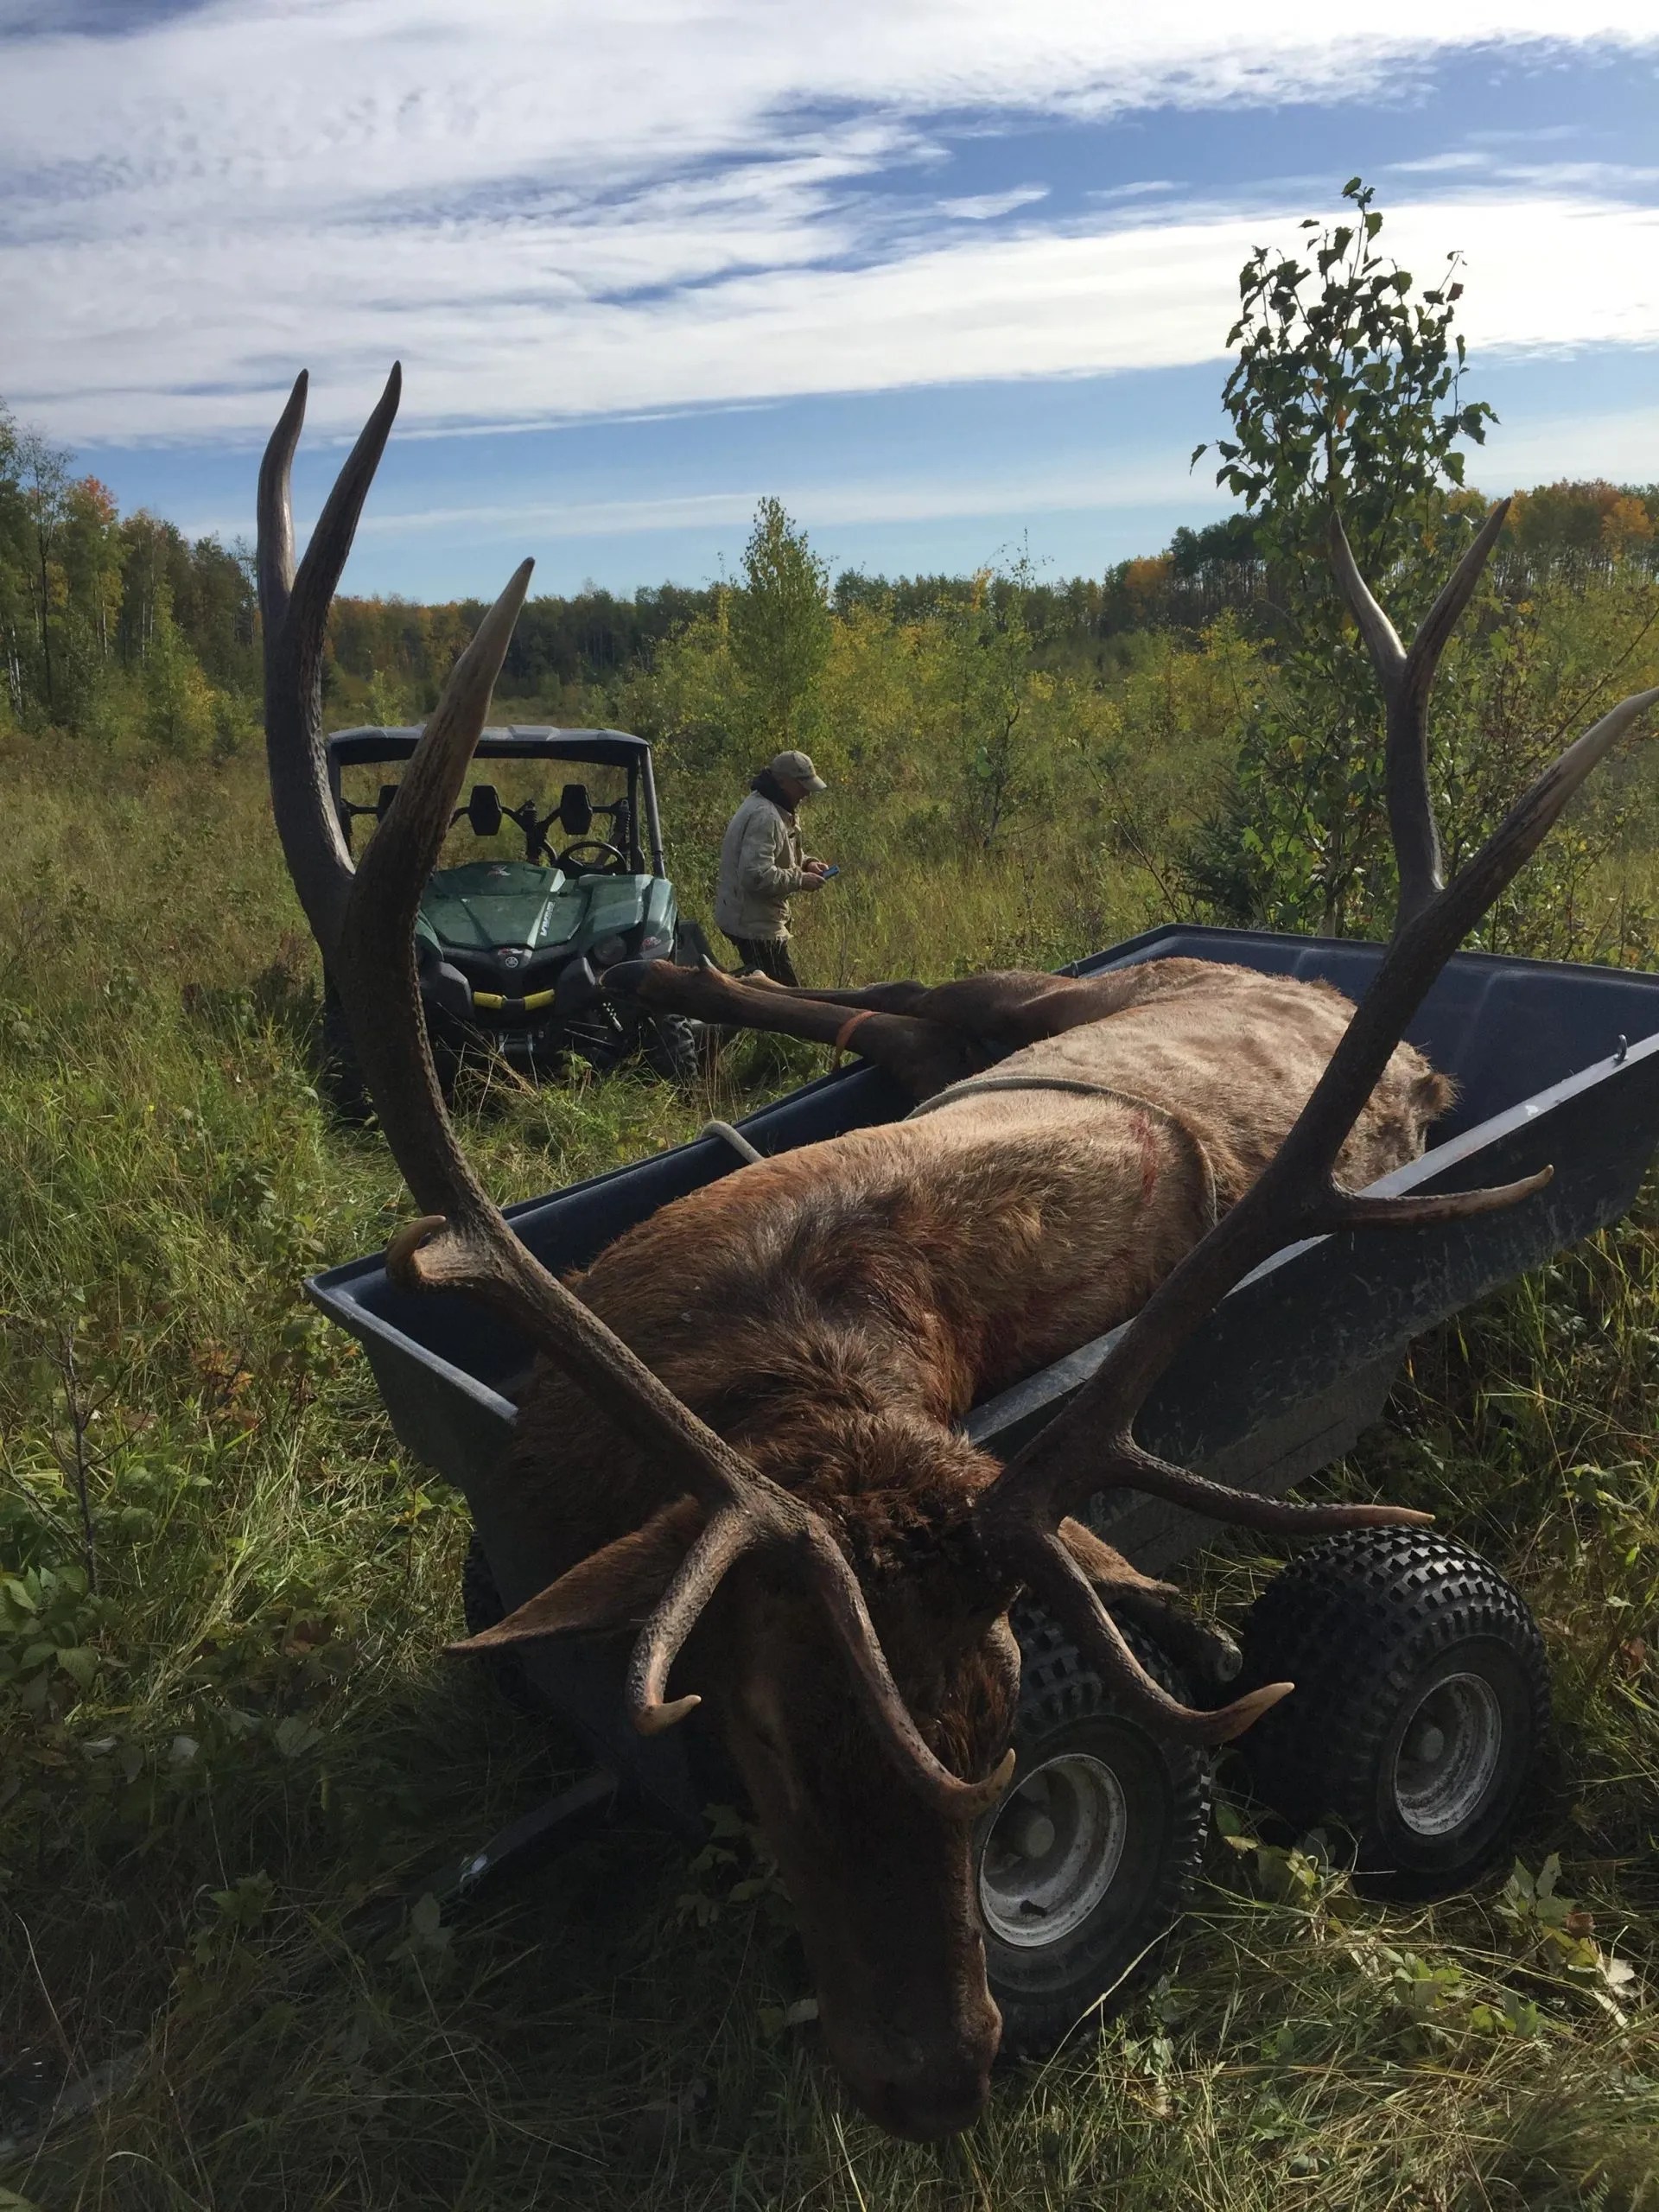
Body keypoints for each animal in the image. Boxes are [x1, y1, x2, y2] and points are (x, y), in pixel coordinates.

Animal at [260, 363, 1658, 2142]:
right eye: (761, 1735)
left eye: (1000, 1739)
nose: (937, 2075)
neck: (773, 1369)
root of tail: (1377, 1031)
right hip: (1037, 996)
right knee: (885, 1006)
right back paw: (630, 1017)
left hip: (1030, 1005)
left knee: (879, 1008)